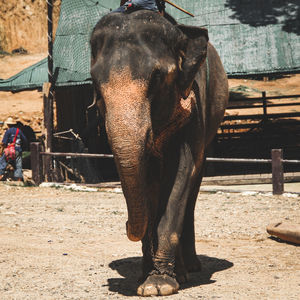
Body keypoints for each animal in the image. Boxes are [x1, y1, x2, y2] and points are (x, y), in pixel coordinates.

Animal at [90, 9, 229, 298]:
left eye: (155, 78)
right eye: (95, 83)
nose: (126, 225)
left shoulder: (195, 103)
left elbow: (183, 171)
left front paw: (159, 285)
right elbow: (148, 183)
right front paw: (146, 278)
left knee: (194, 185)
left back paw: (190, 269)